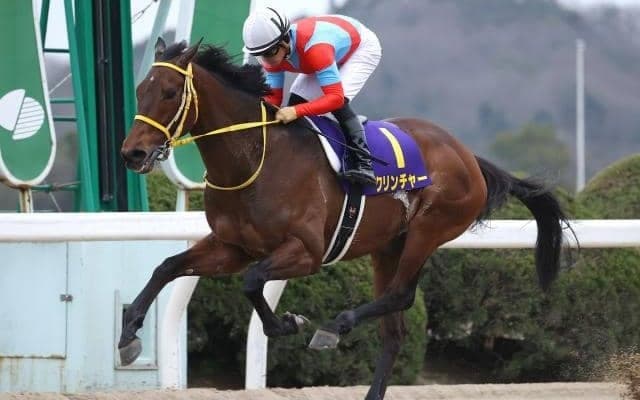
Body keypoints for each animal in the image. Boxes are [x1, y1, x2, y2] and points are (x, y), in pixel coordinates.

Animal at [120, 38, 570, 400]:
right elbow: (167, 267)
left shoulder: (306, 252)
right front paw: (128, 334)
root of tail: (469, 157)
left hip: (429, 229)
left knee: (401, 294)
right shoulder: (233, 247)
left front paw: (289, 323)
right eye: (140, 90)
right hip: (388, 246)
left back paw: (335, 325)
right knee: (394, 332)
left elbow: (252, 282)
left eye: (170, 92)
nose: (132, 153)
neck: (256, 159)